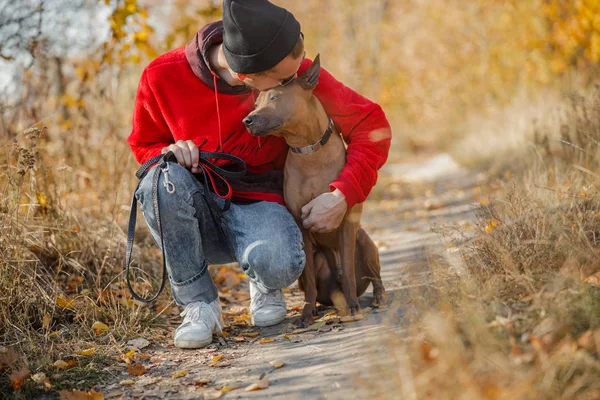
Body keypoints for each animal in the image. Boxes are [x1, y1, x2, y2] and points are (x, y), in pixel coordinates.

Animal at [243, 55, 384, 324]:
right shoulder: (302, 227)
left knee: (373, 276)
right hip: (317, 256)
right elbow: (308, 278)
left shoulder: (346, 221)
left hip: (364, 241)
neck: (309, 152)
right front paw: (307, 312)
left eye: (275, 97)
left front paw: (353, 306)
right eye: (256, 102)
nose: (247, 120)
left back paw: (377, 297)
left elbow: (349, 271)